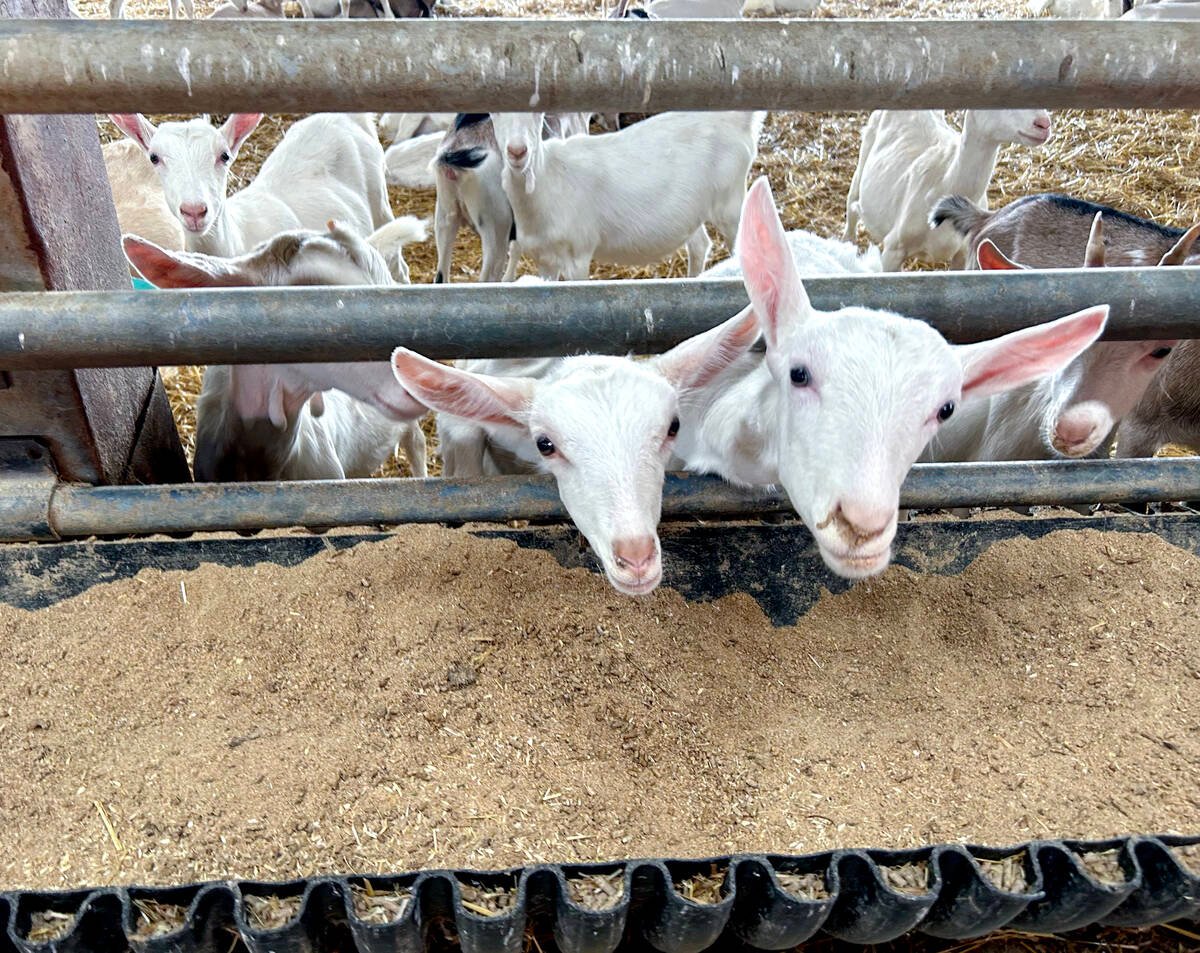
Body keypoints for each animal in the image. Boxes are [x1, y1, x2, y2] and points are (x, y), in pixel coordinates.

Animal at [491, 111, 763, 280]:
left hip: (730, 201)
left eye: (538, 115)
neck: (549, 177)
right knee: (700, 245)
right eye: (495, 114)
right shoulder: (544, 260)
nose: (518, 151)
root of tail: (739, 120)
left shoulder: (578, 254)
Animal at [844, 109, 1052, 271]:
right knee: (851, 203)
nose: (1044, 124)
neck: (945, 181)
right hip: (865, 150)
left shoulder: (962, 254)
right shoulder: (893, 248)